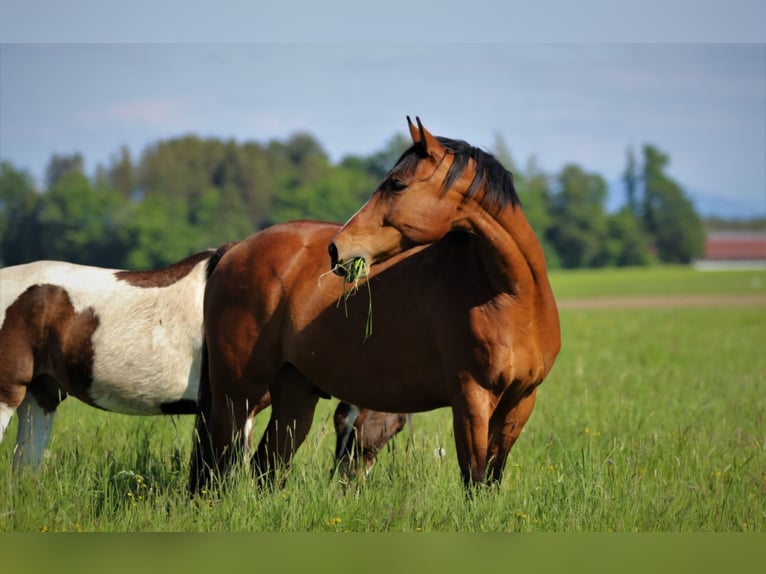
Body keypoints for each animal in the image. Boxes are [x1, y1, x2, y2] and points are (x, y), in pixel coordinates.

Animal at [192, 119, 564, 492]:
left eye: (397, 184)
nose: (336, 249)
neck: (509, 297)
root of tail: (236, 249)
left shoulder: (519, 402)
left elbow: (491, 477)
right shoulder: (471, 400)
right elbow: (475, 478)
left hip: (294, 393)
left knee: (266, 465)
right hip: (236, 393)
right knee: (216, 466)